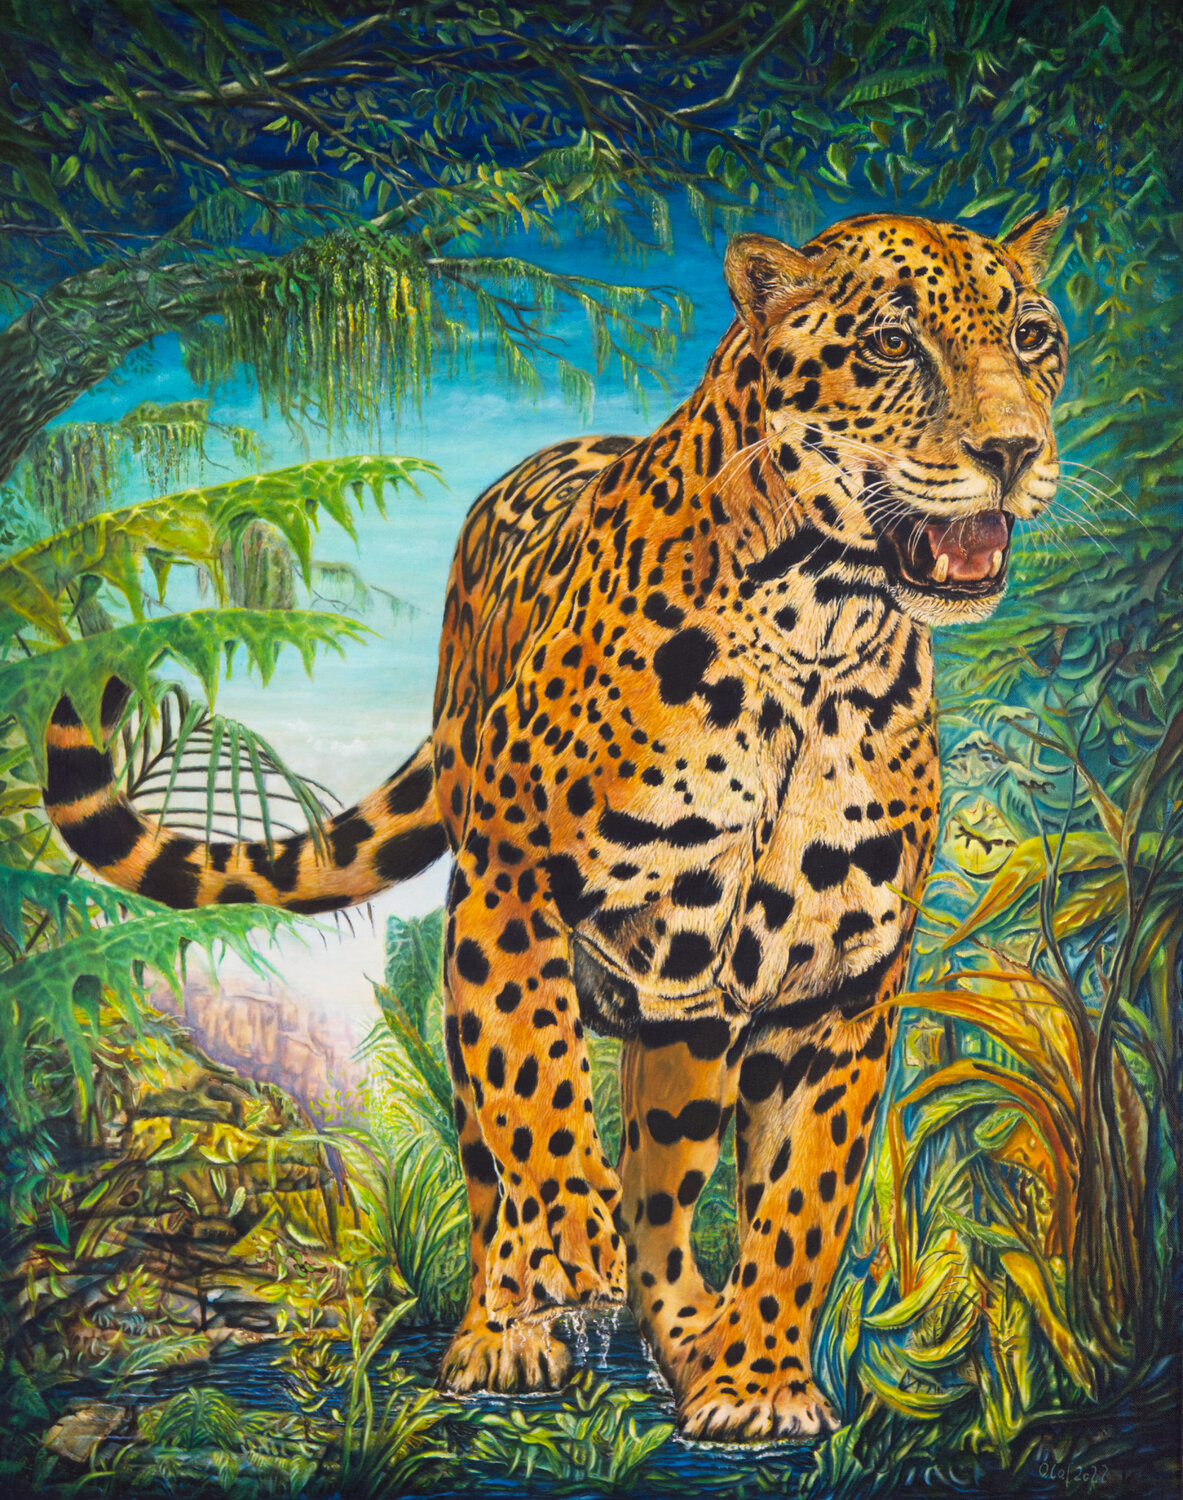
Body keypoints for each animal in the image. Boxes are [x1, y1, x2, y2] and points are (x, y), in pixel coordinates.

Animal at [41, 209, 1067, 1441]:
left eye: (1033, 337)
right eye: (888, 345)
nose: (1013, 453)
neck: (819, 632)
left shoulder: (840, 981)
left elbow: (802, 1196)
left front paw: (757, 1380)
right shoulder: (511, 887)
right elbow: (533, 1088)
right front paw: (565, 1254)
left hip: (689, 1017)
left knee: (663, 1182)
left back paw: (684, 1333)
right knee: (493, 1153)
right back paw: (509, 1323)